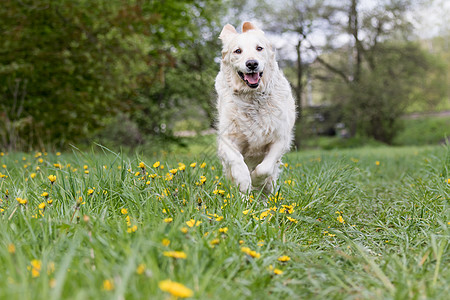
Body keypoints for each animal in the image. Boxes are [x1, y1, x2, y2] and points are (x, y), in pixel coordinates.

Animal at [216, 21, 298, 195]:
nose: (252, 63)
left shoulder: (280, 139)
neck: (252, 98)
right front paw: (244, 181)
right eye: (238, 51)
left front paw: (256, 180)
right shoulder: (227, 139)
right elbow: (237, 162)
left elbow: (264, 168)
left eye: (259, 48)